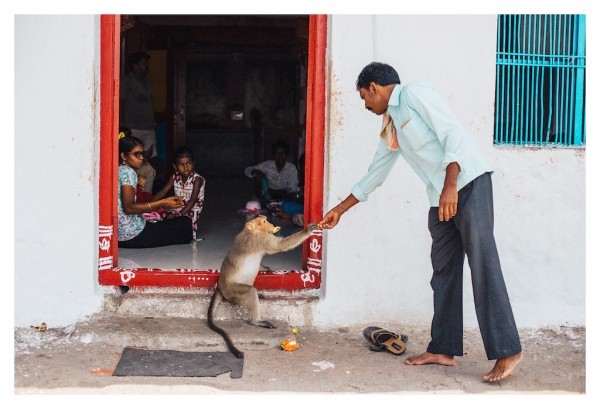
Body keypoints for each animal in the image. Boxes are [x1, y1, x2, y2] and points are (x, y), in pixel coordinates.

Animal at [207, 214, 322, 356]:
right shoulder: (261, 240)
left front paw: (265, 268)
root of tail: (220, 286)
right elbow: (280, 246)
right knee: (250, 291)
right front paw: (307, 231)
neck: (251, 231)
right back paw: (257, 321)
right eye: (264, 221)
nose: (272, 225)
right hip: (231, 291)